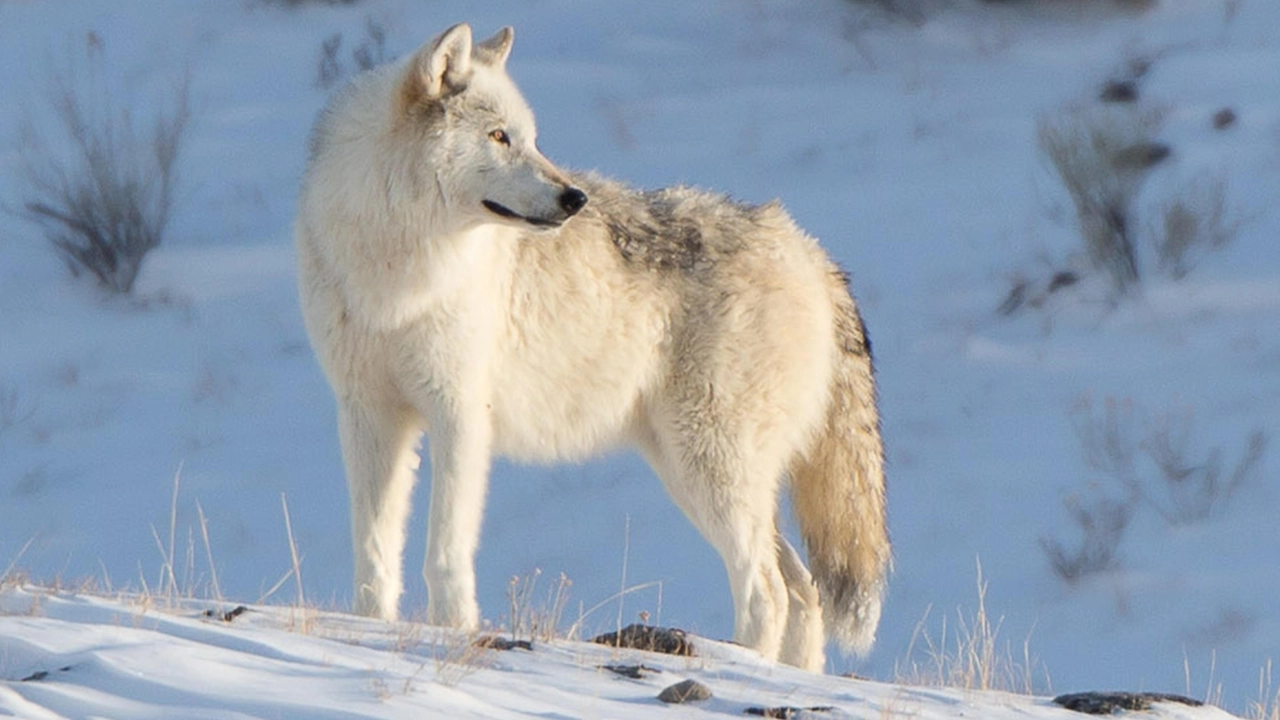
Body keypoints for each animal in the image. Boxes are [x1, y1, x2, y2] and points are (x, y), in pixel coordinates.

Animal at [295, 23, 890, 671]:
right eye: (499, 137)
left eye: (531, 139)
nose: (574, 199)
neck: (398, 264)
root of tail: (810, 252)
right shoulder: (368, 414)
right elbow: (375, 548)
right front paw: (368, 628)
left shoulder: (460, 414)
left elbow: (446, 550)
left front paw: (452, 631)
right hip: (698, 471)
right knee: (804, 590)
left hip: (708, 468)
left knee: (770, 591)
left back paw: (742, 663)